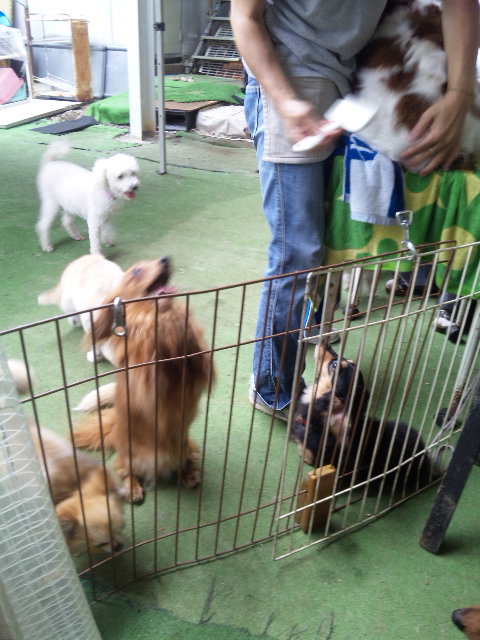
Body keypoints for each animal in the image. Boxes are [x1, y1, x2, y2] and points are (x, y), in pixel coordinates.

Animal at [72, 257, 214, 503]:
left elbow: (193, 349)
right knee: (125, 471)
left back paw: (190, 475)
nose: (166, 259)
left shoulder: (198, 368)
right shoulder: (146, 376)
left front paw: (178, 322)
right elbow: (149, 342)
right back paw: (133, 488)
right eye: (137, 270)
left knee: (188, 460)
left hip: (183, 447)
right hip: (131, 457)